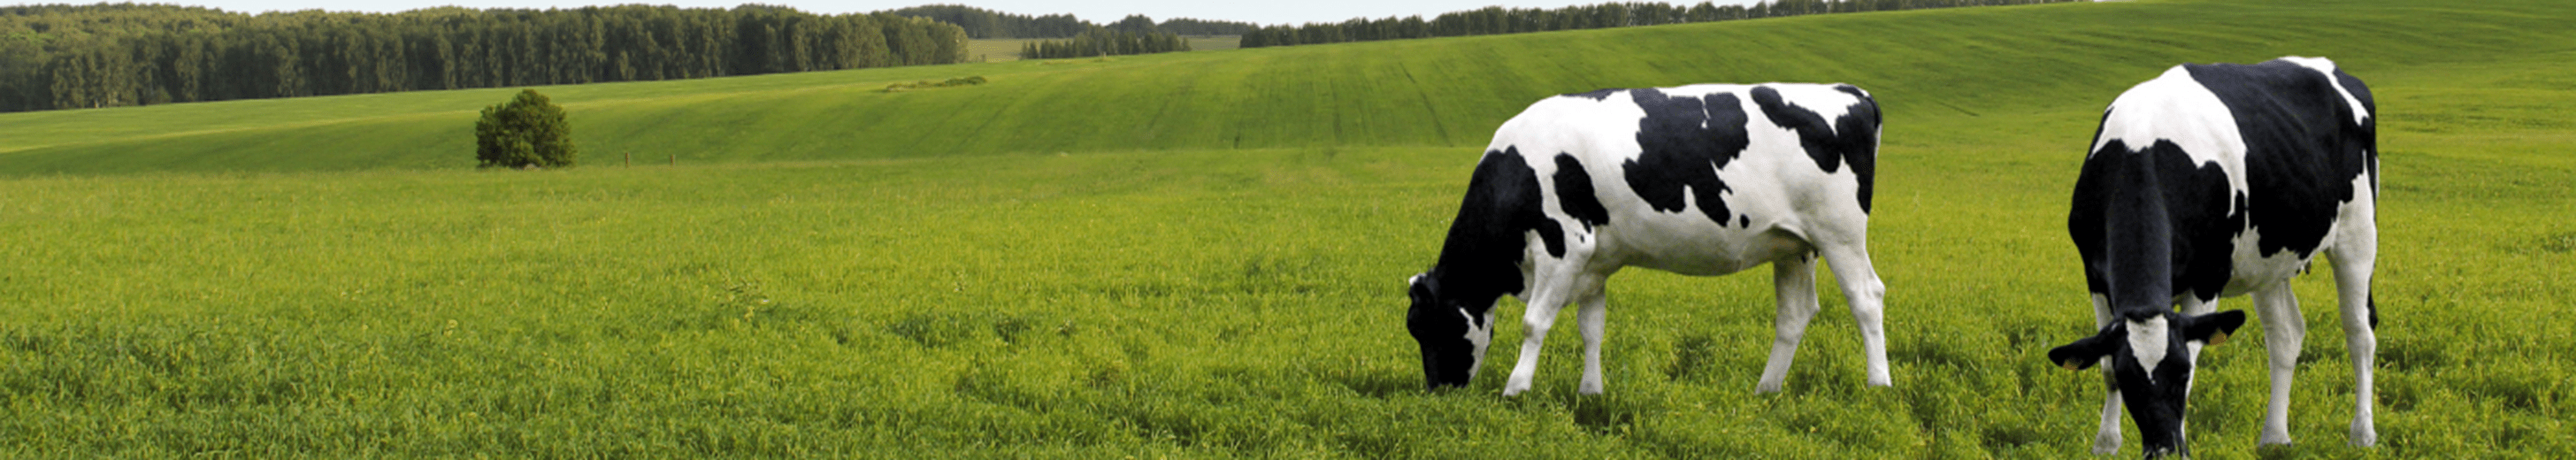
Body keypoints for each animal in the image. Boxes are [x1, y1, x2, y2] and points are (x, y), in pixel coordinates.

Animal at [1411, 82, 1896, 395]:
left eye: (1424, 326)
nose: (1437, 390)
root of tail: (1849, 92)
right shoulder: (1595, 261)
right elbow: (1592, 328)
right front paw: (1591, 392)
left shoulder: (1564, 244)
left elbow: (1534, 323)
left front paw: (1516, 389)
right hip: (1794, 246)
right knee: (1795, 315)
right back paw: (1767, 389)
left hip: (1840, 232)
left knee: (1866, 297)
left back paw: (1878, 384)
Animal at [2040, 58, 2380, 457]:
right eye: (2128, 379)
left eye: (2181, 372)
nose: (2165, 449)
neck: (2142, 145)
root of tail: (2332, 67)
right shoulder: (2094, 277)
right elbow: (2105, 365)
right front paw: (2106, 444)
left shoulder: (2207, 278)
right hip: (2268, 260)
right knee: (2286, 334)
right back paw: (2274, 436)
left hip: (2358, 233)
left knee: (2359, 331)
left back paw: (2362, 434)